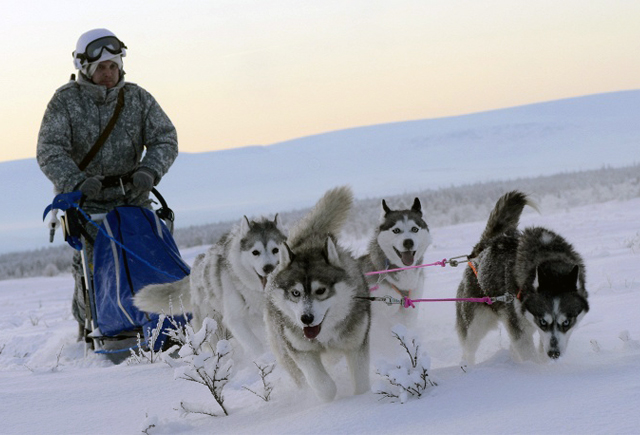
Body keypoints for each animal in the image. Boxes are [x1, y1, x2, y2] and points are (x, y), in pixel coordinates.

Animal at [134, 215, 284, 358]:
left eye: (275, 250)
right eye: (255, 252)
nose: (269, 267)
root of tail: (198, 263)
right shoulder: (235, 319)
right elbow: (255, 345)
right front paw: (265, 357)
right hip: (212, 325)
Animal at [266, 186, 370, 404]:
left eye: (320, 290)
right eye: (295, 293)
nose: (306, 318)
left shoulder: (356, 345)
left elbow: (362, 382)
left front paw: (362, 398)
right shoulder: (300, 350)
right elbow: (322, 384)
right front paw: (328, 395)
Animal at [458, 191, 588, 364]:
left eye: (566, 322)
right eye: (543, 321)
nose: (554, 354)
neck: (548, 258)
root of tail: (483, 247)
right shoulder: (519, 327)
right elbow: (528, 352)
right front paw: (533, 368)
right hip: (476, 322)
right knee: (468, 348)